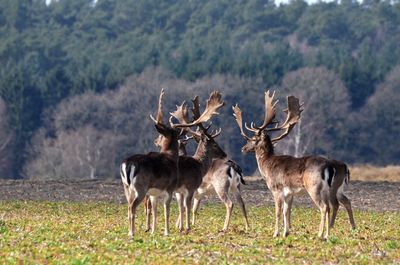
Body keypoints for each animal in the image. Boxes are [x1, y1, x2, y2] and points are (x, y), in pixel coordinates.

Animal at [233, 90, 348, 237]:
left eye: (253, 138)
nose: (243, 148)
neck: (267, 166)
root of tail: (329, 167)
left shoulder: (276, 189)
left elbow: (278, 212)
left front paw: (275, 233)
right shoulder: (288, 193)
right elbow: (286, 212)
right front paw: (285, 233)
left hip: (314, 186)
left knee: (324, 207)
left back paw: (320, 235)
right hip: (328, 189)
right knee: (331, 206)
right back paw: (327, 234)